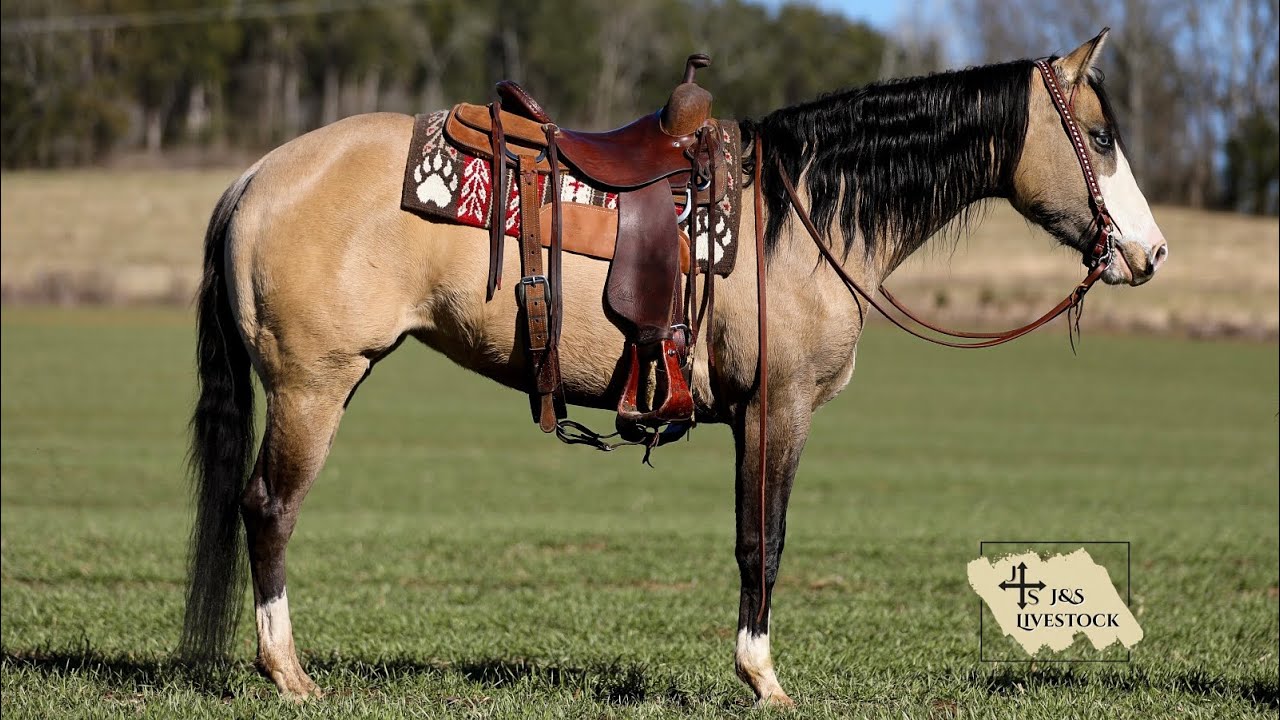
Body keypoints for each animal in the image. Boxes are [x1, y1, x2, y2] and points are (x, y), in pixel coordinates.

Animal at [179, 29, 1167, 706]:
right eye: (1100, 137)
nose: (1150, 253)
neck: (797, 217)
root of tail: (255, 176)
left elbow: (751, 539)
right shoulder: (778, 409)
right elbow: (763, 541)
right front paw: (763, 678)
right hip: (313, 386)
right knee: (269, 507)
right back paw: (287, 672)